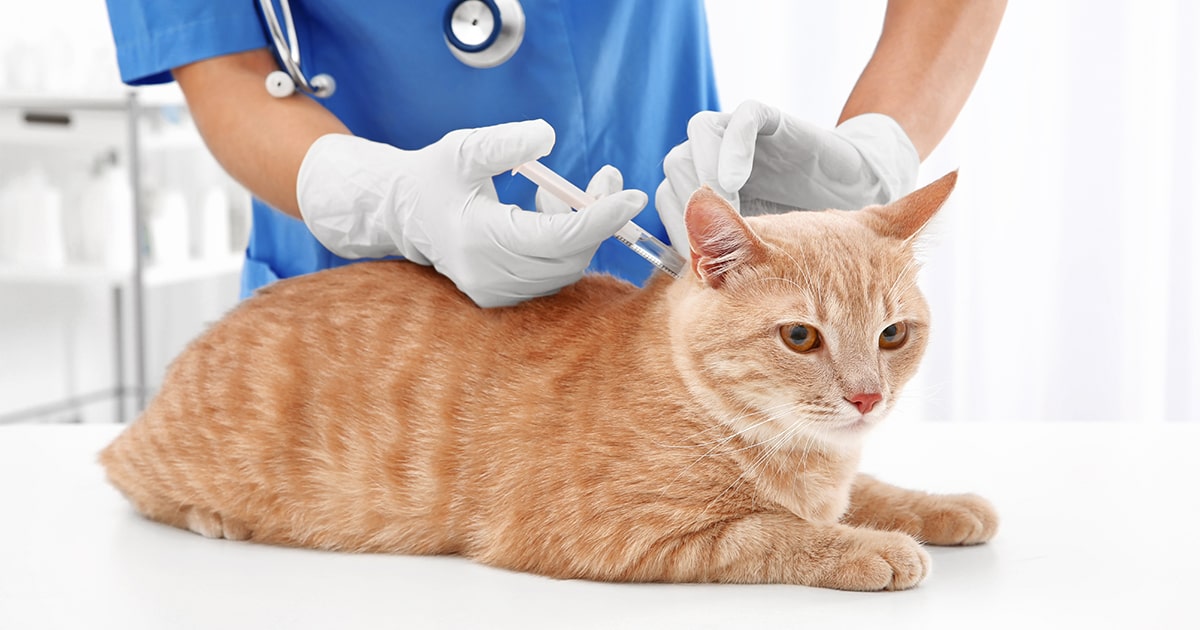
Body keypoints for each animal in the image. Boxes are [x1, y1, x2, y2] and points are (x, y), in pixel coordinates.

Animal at [100, 170, 993, 590]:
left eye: (892, 335)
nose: (867, 397)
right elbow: (769, 533)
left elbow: (869, 490)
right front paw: (872, 549)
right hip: (166, 463)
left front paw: (939, 506)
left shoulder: (840, 471)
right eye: (801, 336)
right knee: (126, 476)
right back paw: (212, 517)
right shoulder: (612, 536)